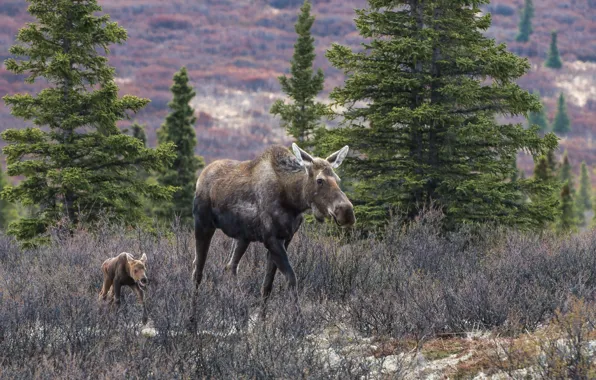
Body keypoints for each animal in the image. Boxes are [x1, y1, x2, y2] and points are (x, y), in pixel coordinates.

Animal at [192, 142, 354, 324]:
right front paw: (298, 320)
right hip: (203, 224)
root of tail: (201, 177)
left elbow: (267, 285)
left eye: (338, 179)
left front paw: (261, 321)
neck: (293, 200)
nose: (346, 212)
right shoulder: (272, 239)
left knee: (230, 267)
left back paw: (241, 311)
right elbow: (291, 278)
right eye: (320, 180)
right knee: (198, 271)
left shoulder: (285, 239)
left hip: (242, 237)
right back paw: (193, 317)